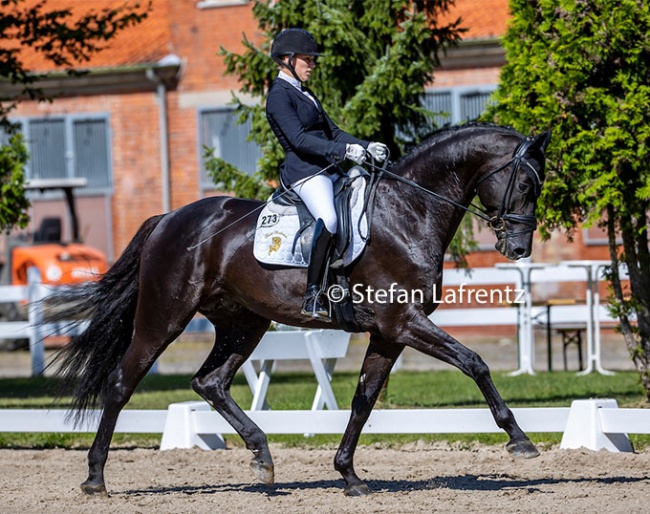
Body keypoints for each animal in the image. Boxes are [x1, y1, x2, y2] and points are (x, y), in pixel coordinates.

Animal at [48, 122, 548, 494]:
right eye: (525, 182)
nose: (519, 249)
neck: (408, 211)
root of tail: (167, 219)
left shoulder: (388, 333)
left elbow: (364, 399)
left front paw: (349, 475)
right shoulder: (404, 322)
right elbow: (474, 361)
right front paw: (520, 440)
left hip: (244, 323)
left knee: (210, 382)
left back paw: (262, 457)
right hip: (164, 316)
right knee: (120, 383)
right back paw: (95, 479)